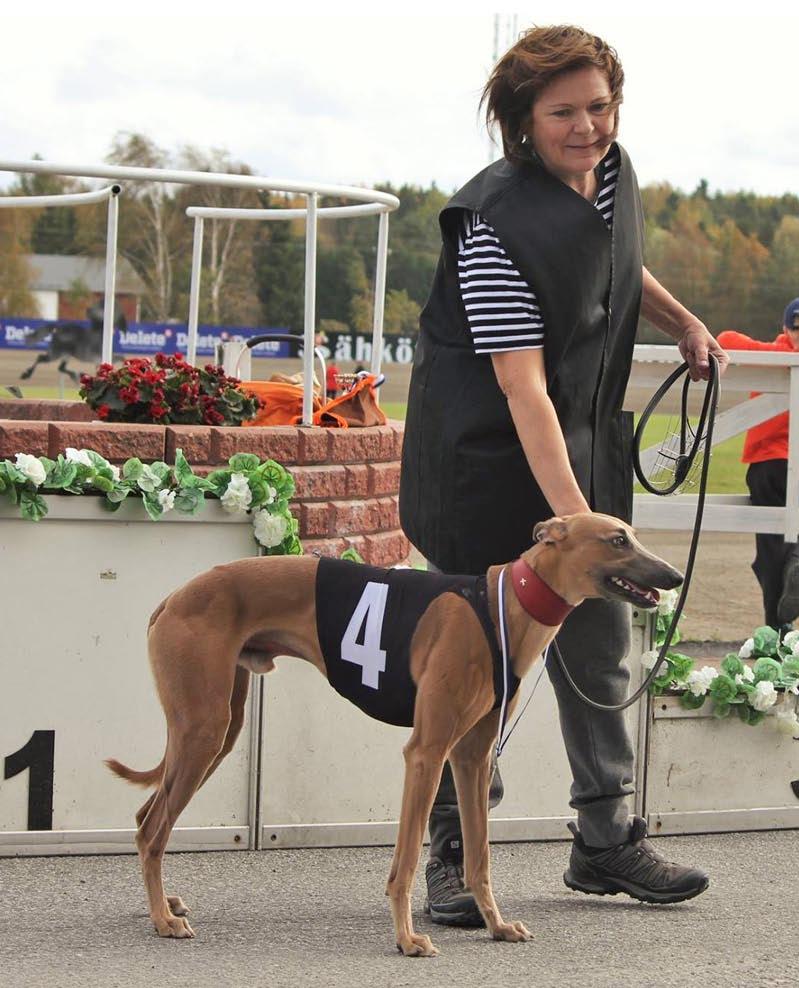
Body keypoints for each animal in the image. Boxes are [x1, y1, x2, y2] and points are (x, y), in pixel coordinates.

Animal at [106, 512, 680, 952]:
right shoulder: (426, 751)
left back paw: (164, 903)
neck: (503, 606)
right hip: (204, 728)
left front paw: (495, 925)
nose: (674, 575)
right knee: (150, 829)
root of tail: (173, 598)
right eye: (618, 539)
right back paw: (163, 920)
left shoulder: (471, 757)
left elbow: (480, 855)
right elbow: (403, 861)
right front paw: (406, 939)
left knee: (145, 816)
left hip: (217, 728)